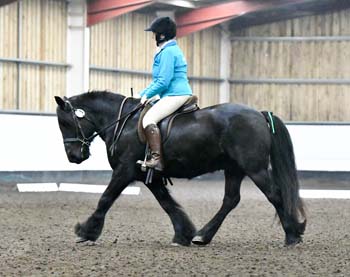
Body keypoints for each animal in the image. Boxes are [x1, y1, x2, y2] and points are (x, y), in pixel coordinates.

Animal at [54, 90, 306, 246]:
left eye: (65, 122)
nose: (73, 157)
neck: (122, 123)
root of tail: (260, 115)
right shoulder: (149, 176)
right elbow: (167, 203)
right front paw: (183, 234)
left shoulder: (124, 170)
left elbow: (105, 198)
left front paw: (86, 232)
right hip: (234, 169)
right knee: (231, 200)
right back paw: (202, 236)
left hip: (254, 168)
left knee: (274, 195)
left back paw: (292, 235)